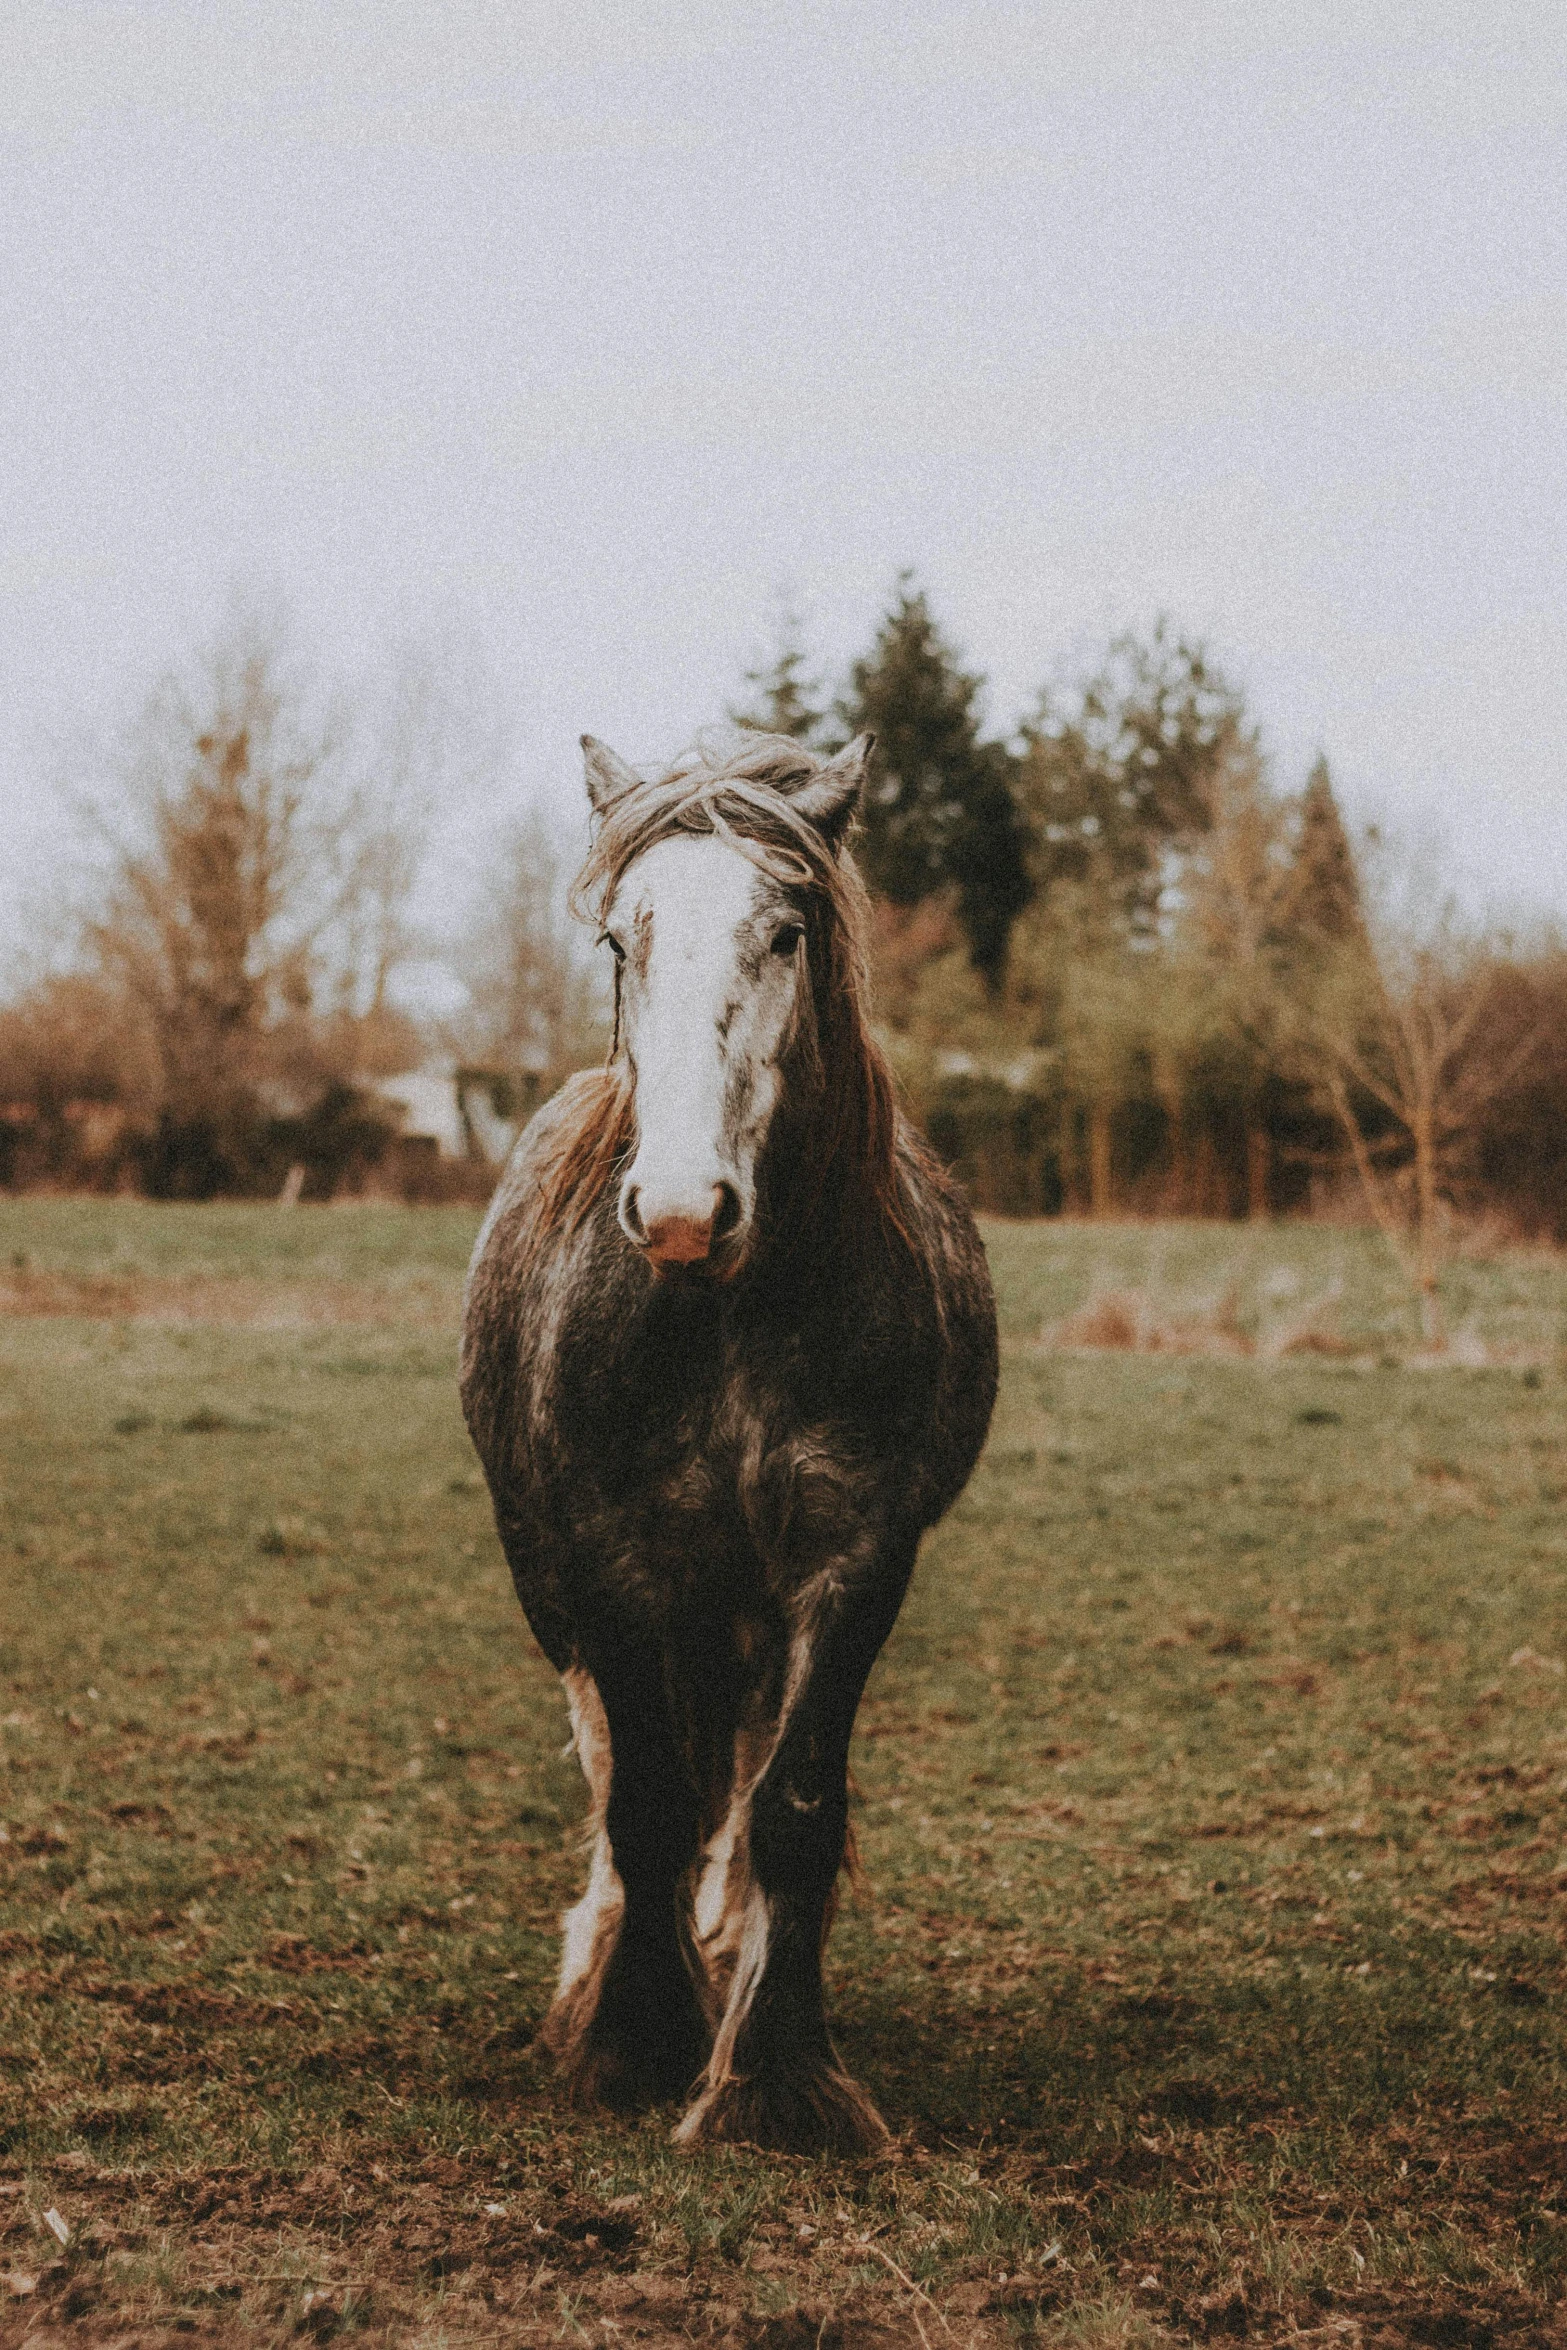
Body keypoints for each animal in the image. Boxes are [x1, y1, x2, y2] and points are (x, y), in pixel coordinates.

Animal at [460, 728, 1000, 2152]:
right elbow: (642, 1799)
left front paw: (773, 2076)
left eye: (787, 930)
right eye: (619, 938)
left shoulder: (854, 1561)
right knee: (619, 1763)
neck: (729, 1315)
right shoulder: (610, 1557)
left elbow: (792, 1808)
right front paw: (634, 2043)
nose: (681, 1209)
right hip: (564, 1586)